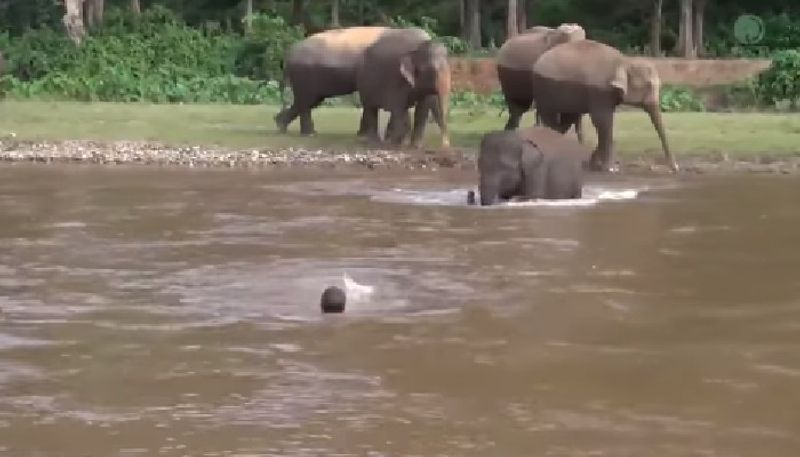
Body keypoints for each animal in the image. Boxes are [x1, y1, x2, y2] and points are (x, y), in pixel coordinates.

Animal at [532, 38, 676, 171]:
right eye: (649, 85)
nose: (675, 168)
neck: (624, 61)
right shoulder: (599, 91)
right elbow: (602, 121)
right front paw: (610, 168)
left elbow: (604, 123)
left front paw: (595, 164)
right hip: (544, 89)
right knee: (550, 118)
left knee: (566, 121)